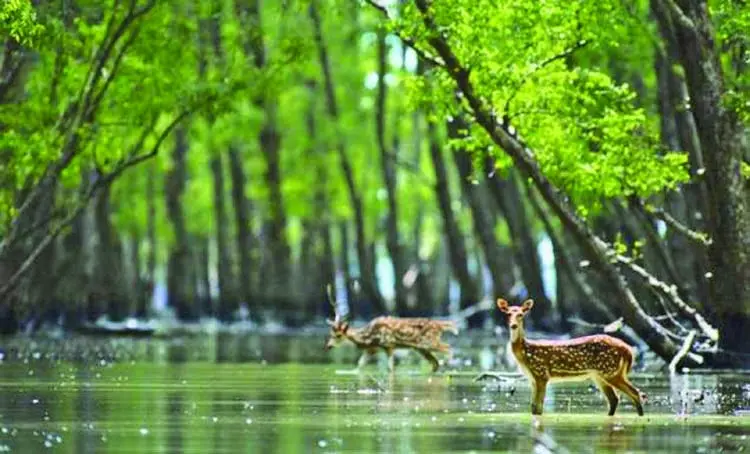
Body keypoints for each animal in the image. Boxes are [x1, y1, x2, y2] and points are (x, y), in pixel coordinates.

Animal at [324, 288, 458, 372]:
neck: (368, 337)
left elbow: (390, 369)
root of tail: (441, 325)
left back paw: (446, 362)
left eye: (338, 335)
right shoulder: (372, 349)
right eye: (330, 334)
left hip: (429, 342)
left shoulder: (388, 345)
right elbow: (359, 366)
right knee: (435, 364)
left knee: (448, 348)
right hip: (422, 348)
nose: (328, 346)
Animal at [500, 298, 648, 414]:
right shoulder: (532, 378)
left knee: (635, 393)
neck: (526, 352)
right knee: (615, 399)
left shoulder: (541, 374)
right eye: (508, 314)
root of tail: (628, 350)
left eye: (521, 314)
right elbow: (533, 407)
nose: (513, 325)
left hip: (610, 371)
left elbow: (538, 408)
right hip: (600, 375)